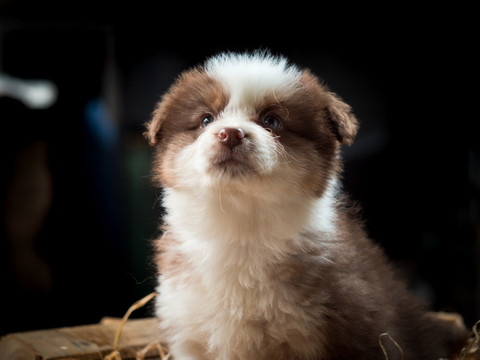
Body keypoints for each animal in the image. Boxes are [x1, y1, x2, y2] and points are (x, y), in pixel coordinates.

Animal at [145, 51, 468, 360]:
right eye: (206, 120)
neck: (241, 226)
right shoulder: (188, 335)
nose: (231, 133)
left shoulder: (350, 331)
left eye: (272, 120)